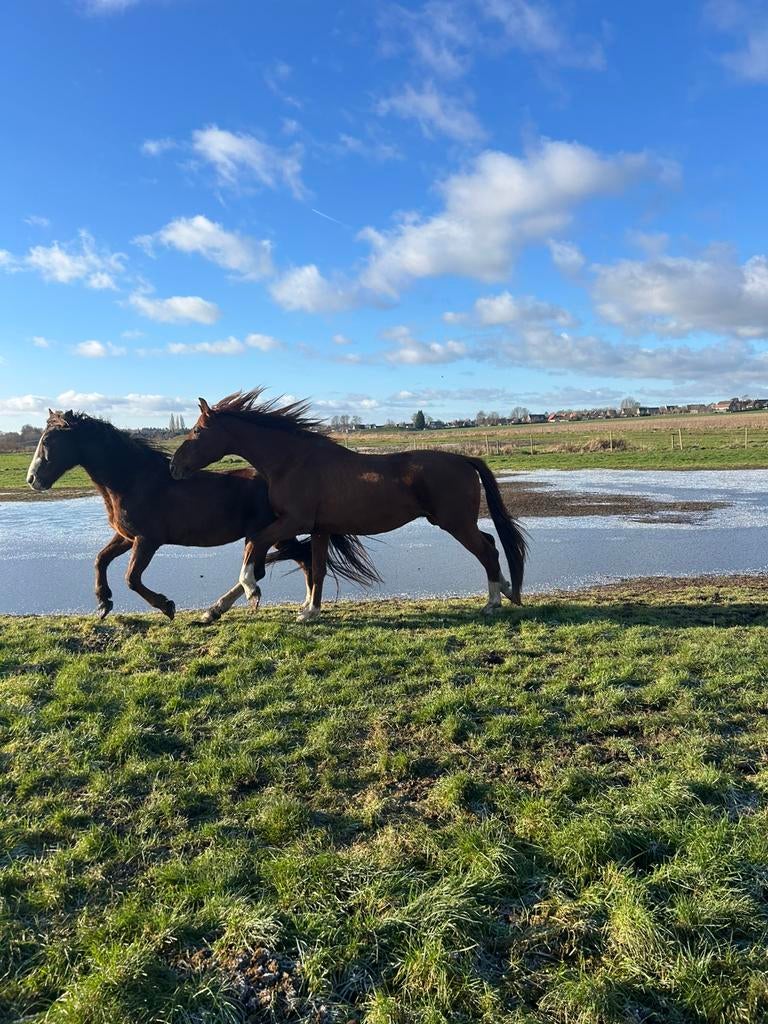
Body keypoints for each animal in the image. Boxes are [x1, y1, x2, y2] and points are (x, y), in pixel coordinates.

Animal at [27, 410, 380, 622]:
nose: (32, 480)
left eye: (48, 440)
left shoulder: (147, 540)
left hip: (277, 533)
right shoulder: (126, 537)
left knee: (290, 562)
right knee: (303, 560)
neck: (133, 480)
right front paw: (103, 604)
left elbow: (131, 578)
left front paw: (166, 607)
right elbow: (100, 560)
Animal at [170, 389, 526, 621]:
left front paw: (251, 590)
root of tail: (464, 459)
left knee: (487, 550)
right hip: (458, 522)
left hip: (455, 523)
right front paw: (310, 611)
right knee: (491, 543)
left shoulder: (293, 522)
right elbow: (317, 568)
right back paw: (508, 590)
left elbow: (253, 543)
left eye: (197, 430)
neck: (293, 461)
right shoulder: (320, 529)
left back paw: (493, 602)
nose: (174, 467)